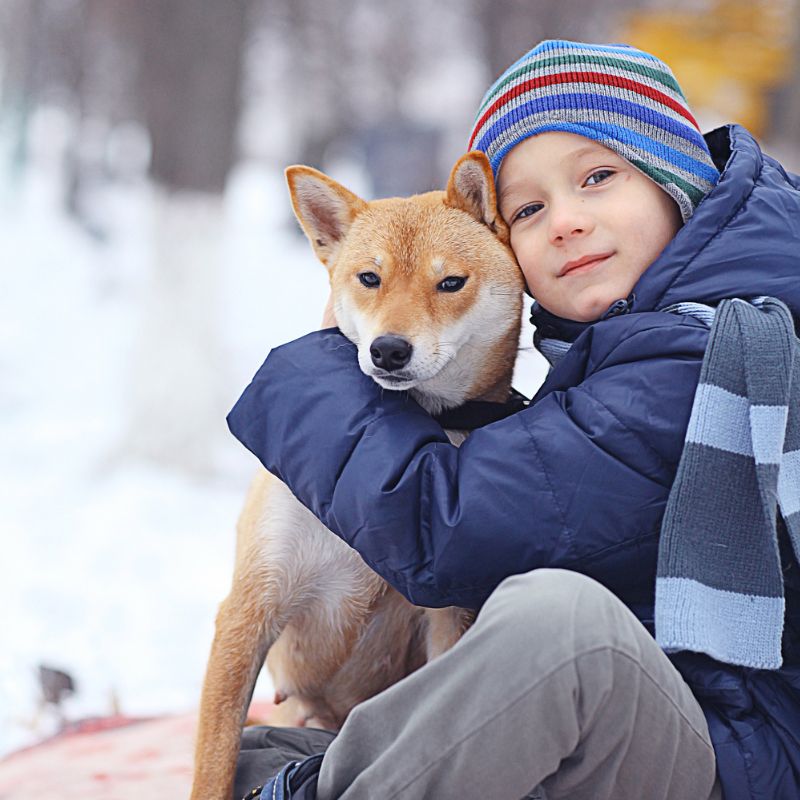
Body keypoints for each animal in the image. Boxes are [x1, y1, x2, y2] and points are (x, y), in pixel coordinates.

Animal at [190, 152, 520, 800]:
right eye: (370, 279)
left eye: (450, 283)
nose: (389, 350)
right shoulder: (250, 610)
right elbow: (213, 766)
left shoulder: (447, 620)